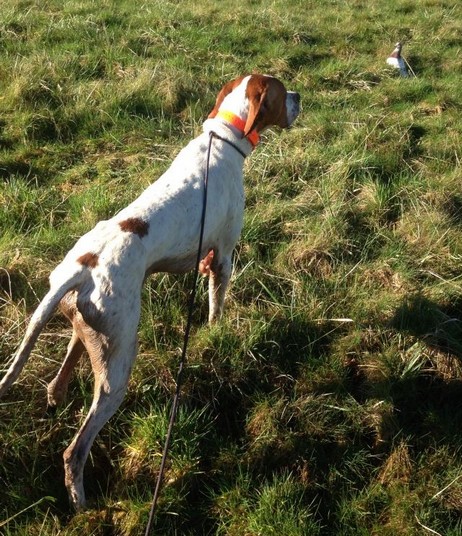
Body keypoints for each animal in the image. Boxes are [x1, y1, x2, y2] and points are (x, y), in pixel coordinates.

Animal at [0, 73, 302, 508]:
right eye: (281, 92)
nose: (299, 96)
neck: (224, 139)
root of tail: (82, 269)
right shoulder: (224, 257)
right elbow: (216, 308)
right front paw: (218, 336)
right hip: (117, 366)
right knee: (75, 450)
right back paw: (82, 503)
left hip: (87, 332)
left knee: (57, 383)